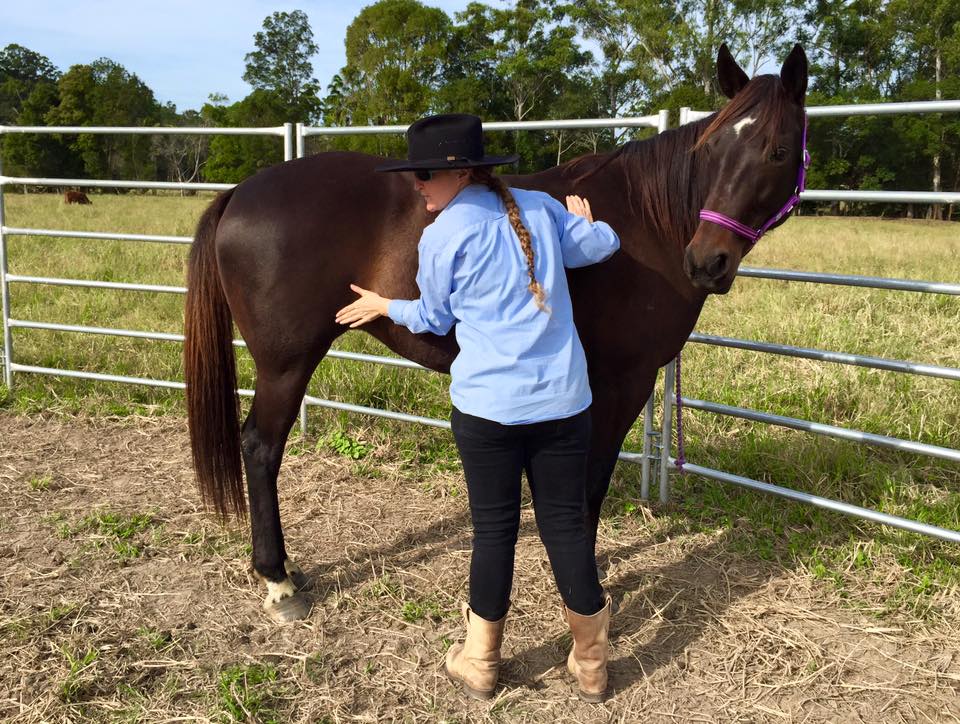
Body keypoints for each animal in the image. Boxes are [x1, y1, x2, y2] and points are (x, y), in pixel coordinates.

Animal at [184, 46, 808, 624]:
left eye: (777, 151)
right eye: (712, 150)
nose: (707, 262)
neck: (645, 223)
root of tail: (240, 193)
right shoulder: (621, 383)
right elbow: (591, 484)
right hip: (286, 364)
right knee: (260, 447)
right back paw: (278, 580)